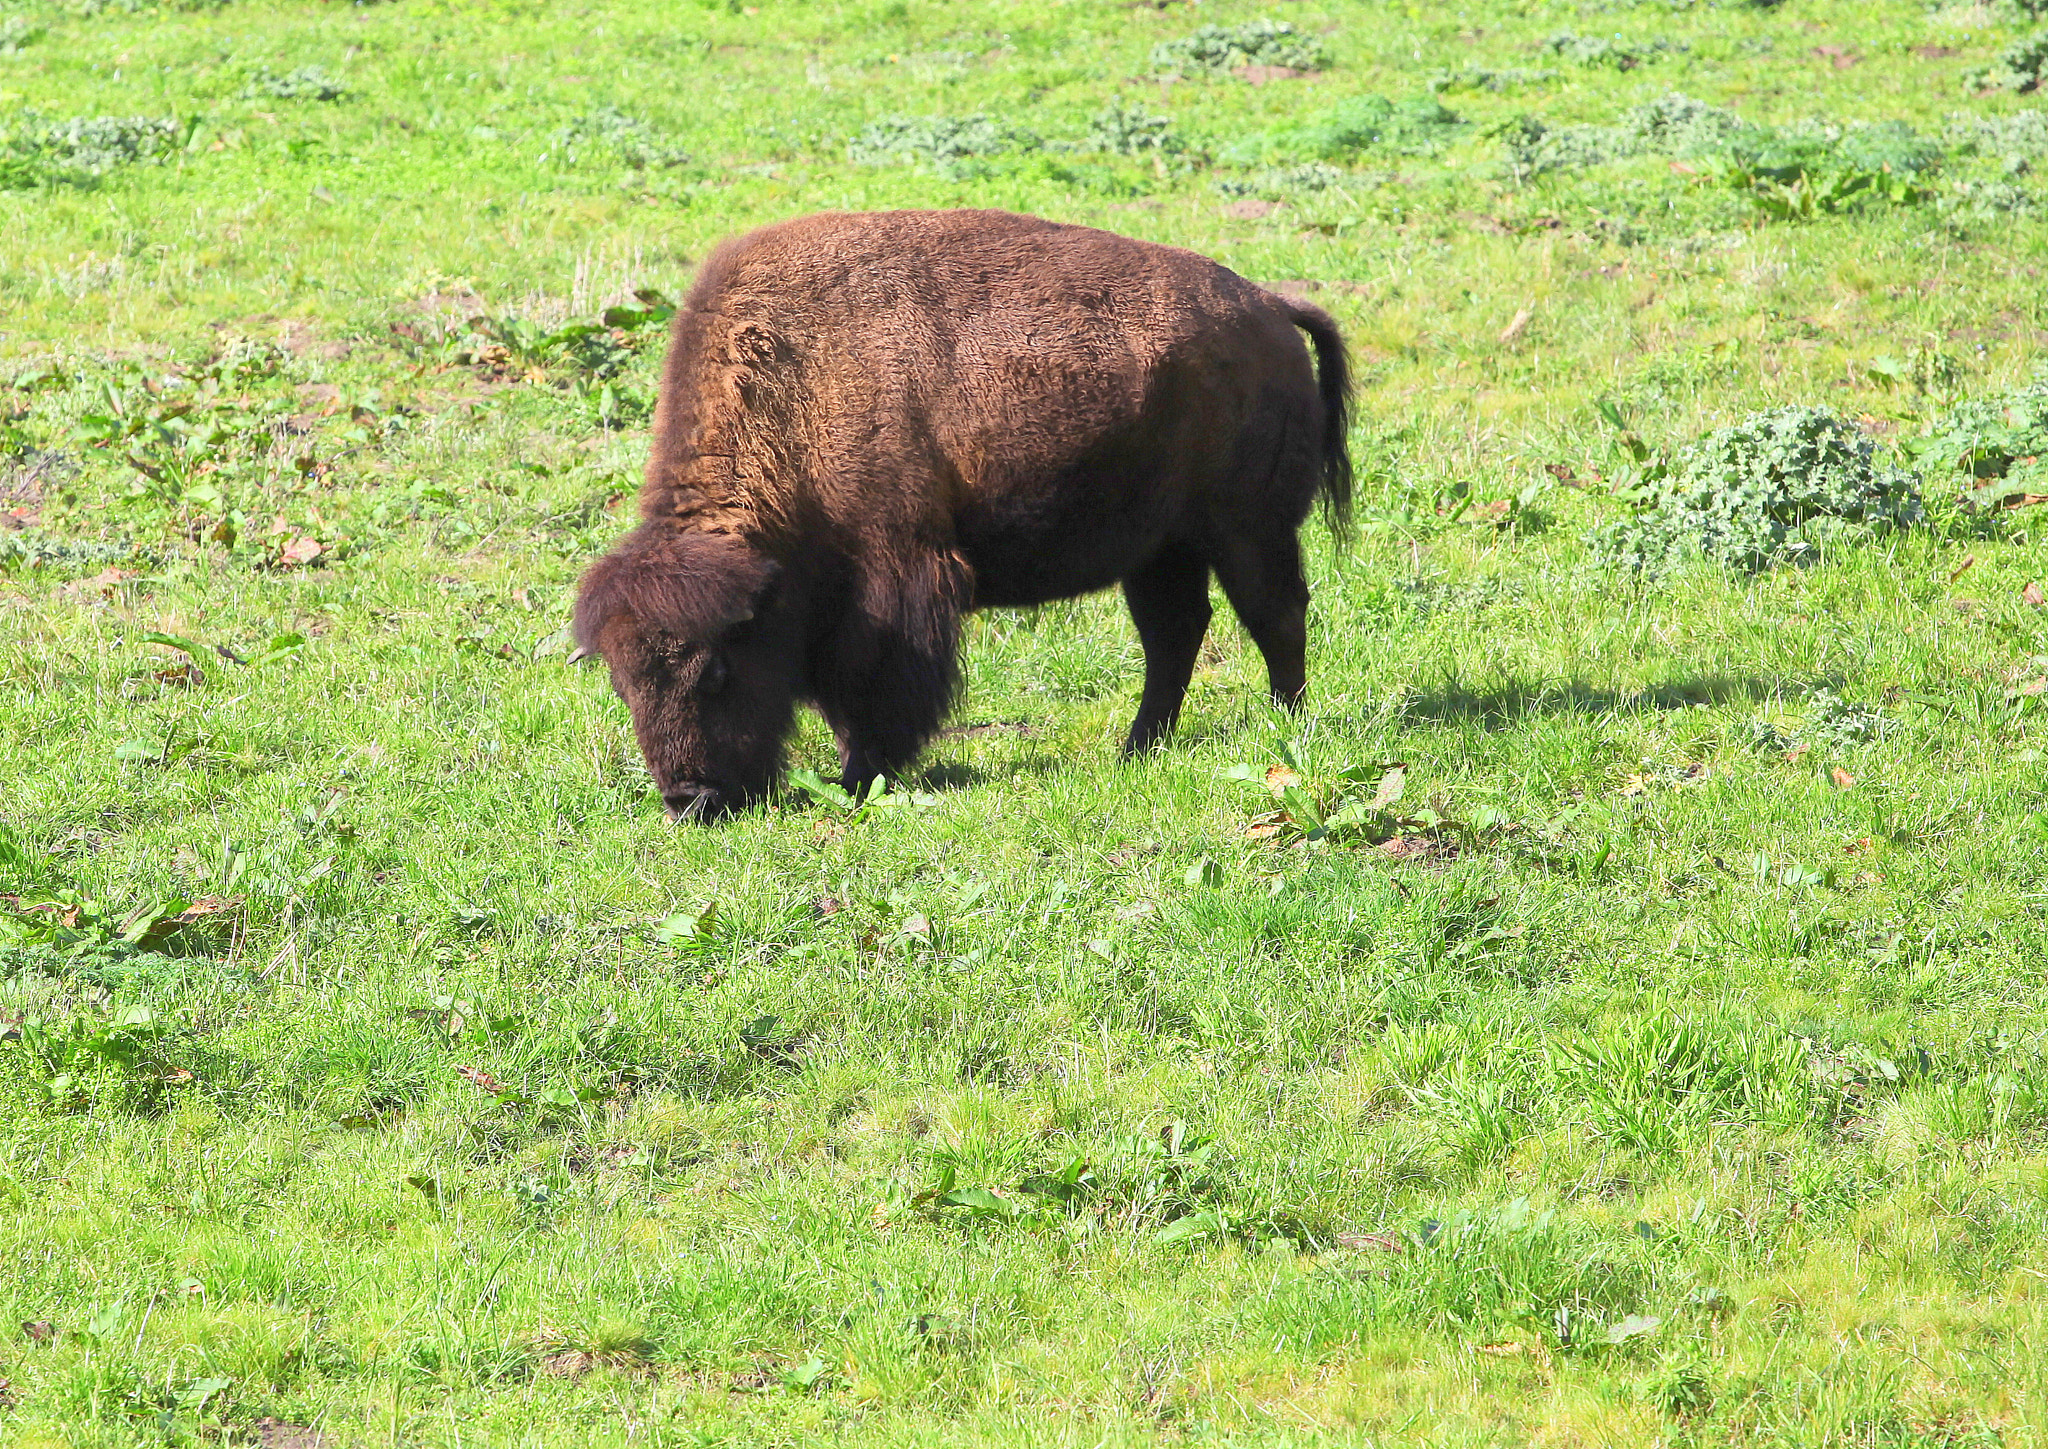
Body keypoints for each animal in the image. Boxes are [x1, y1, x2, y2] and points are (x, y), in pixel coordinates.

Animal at [571, 208, 1351, 819]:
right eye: (622, 685)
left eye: (715, 671)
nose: (689, 800)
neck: (792, 392)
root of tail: (1270, 308)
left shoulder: (891, 582)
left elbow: (871, 692)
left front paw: (860, 778)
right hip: (1160, 550)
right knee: (1177, 634)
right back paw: (1136, 748)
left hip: (1247, 531)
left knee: (1275, 615)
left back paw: (1288, 725)